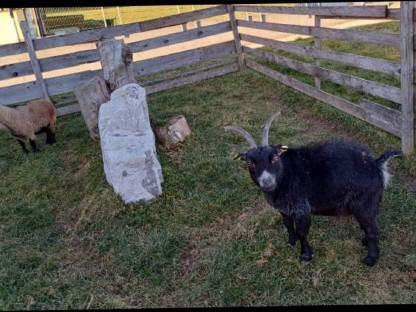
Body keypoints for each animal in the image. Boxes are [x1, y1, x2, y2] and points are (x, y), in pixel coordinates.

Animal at [226, 112, 402, 266]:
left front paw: (305, 255)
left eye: (275, 157)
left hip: (364, 203)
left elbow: (302, 232)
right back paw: (365, 242)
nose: (267, 182)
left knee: (373, 229)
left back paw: (370, 259)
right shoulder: (284, 209)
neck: (286, 174)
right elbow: (288, 225)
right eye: (250, 162)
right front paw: (291, 242)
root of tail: (376, 164)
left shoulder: (302, 209)